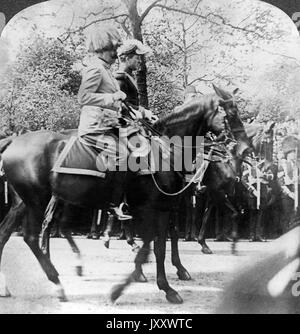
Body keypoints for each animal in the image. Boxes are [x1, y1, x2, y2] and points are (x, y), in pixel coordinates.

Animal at [0, 85, 251, 302]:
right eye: (231, 112)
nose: (245, 148)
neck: (167, 151)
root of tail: (14, 141)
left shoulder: (163, 206)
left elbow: (158, 245)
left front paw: (163, 282)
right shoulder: (153, 207)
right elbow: (152, 246)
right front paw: (136, 286)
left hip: (29, 201)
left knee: (11, 232)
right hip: (38, 200)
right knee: (34, 235)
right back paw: (57, 281)